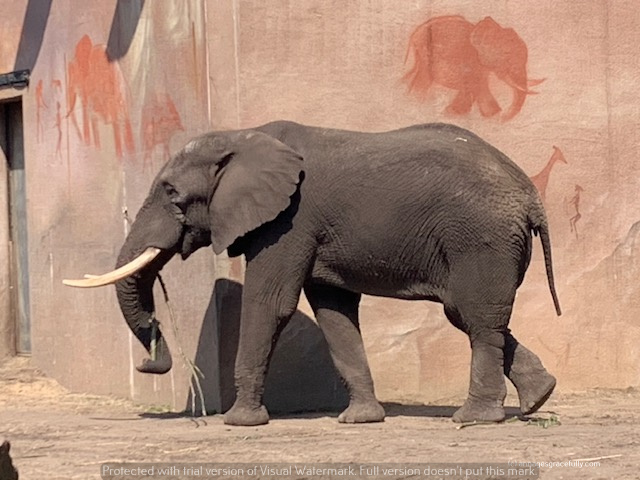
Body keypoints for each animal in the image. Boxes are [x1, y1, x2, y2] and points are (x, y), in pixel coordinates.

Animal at [64, 121, 561, 426]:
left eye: (172, 193)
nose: (148, 362)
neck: (242, 137)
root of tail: (531, 195)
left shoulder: (289, 221)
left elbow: (269, 304)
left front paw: (240, 423)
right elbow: (333, 312)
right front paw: (360, 421)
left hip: (479, 238)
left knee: (476, 321)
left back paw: (474, 419)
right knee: (472, 316)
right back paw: (539, 397)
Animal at [403, 15, 544, 121]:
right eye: (507, 57)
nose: (503, 118)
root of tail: (415, 34)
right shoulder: (472, 60)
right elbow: (477, 86)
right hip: (425, 55)